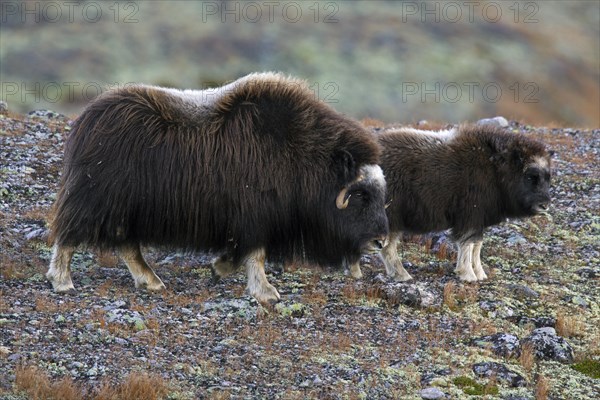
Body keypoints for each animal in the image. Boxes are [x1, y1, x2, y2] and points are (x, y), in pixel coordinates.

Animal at [45, 72, 384, 304]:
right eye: (361, 195)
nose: (380, 241)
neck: (301, 155)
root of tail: (87, 120)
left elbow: (242, 253)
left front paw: (219, 268)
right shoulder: (255, 216)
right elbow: (255, 255)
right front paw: (266, 292)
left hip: (126, 210)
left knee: (127, 245)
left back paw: (152, 281)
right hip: (95, 200)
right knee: (69, 237)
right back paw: (62, 281)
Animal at [352, 123, 552, 282]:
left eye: (547, 177)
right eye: (530, 176)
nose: (545, 205)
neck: (496, 170)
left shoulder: (478, 220)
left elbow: (477, 245)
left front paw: (480, 274)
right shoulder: (470, 216)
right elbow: (467, 244)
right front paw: (468, 275)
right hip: (389, 216)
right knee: (385, 247)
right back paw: (400, 275)